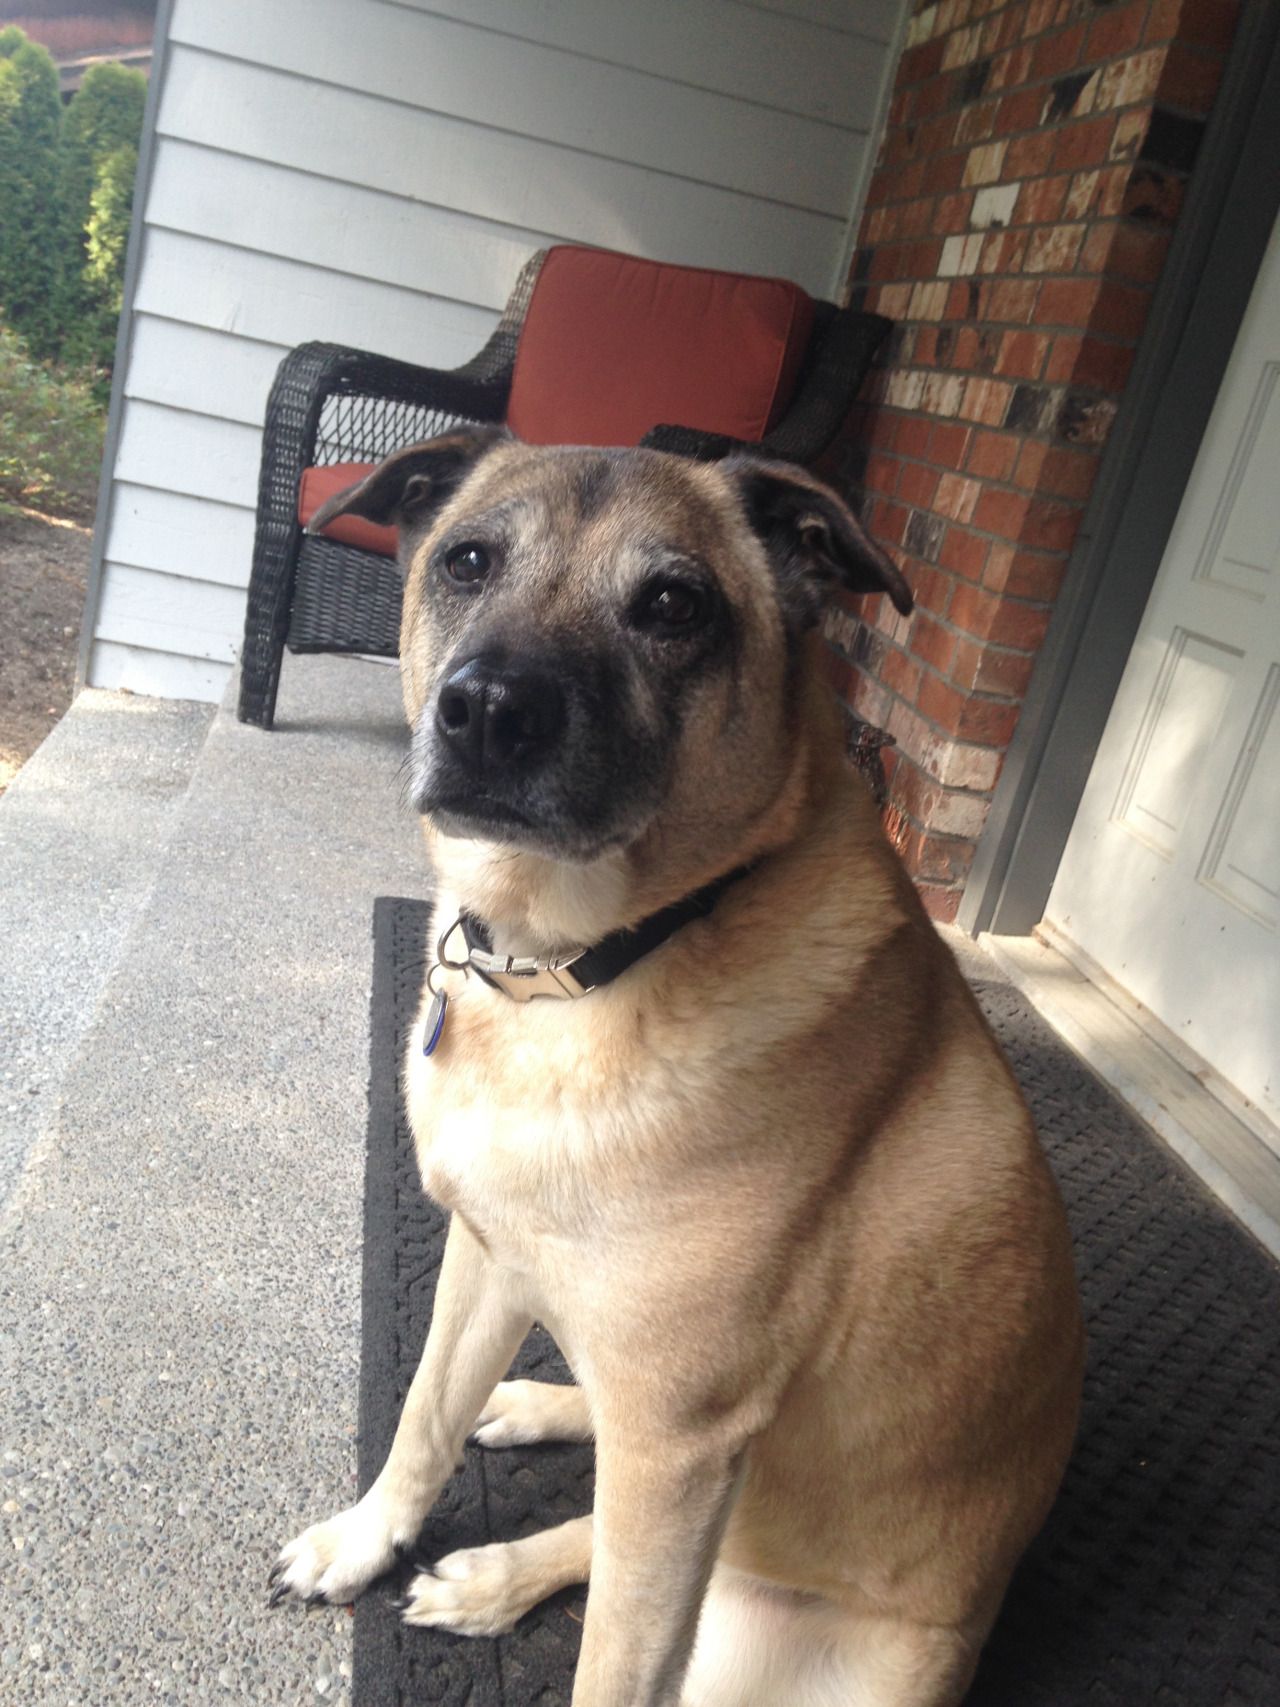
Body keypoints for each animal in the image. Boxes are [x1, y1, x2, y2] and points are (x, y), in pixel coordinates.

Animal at [267, 430, 1085, 1707]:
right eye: (465, 560)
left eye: (671, 605)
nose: (487, 710)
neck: (573, 967)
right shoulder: (484, 1256)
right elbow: (421, 1418)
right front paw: (364, 1541)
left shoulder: (681, 1441)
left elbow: (612, 1662)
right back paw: (526, 1459)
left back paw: (503, 1567)